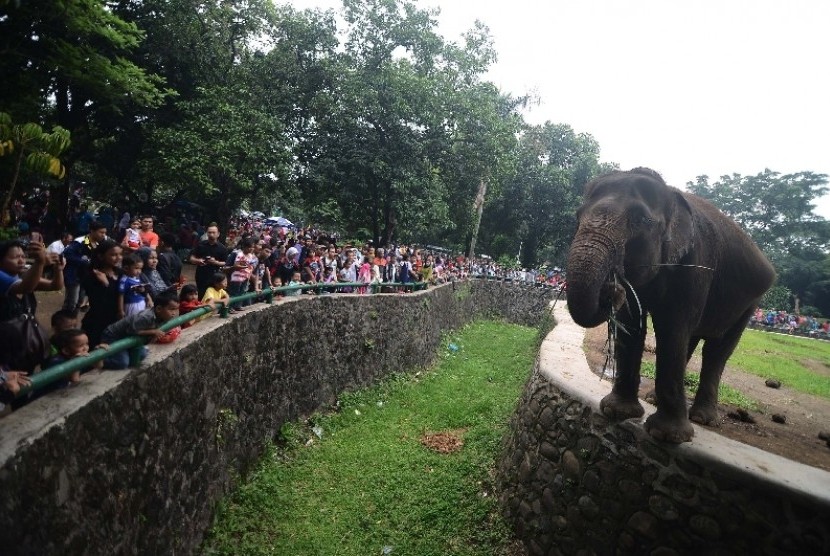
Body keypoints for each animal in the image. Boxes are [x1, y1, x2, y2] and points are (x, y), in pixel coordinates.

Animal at [564, 167, 780, 446]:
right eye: (577, 216)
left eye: (641, 220)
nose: (612, 287)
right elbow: (633, 324)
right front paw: (615, 411)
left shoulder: (696, 264)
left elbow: (672, 327)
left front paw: (668, 436)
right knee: (692, 339)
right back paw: (653, 399)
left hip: (751, 303)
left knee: (717, 349)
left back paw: (703, 418)